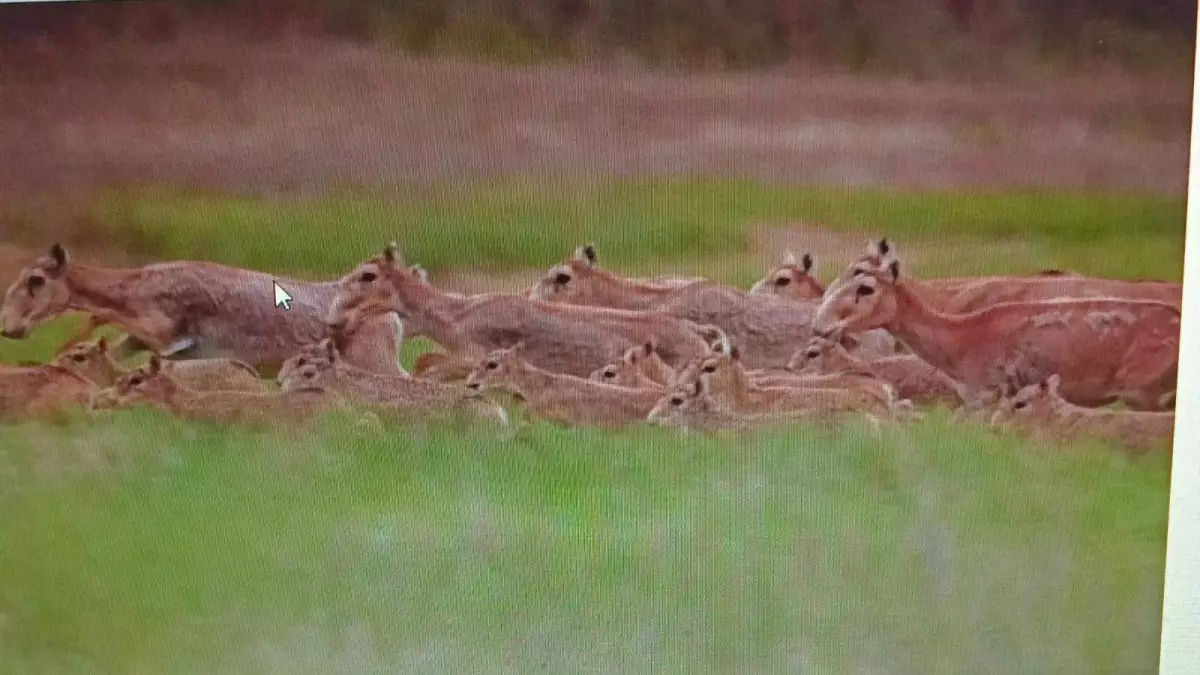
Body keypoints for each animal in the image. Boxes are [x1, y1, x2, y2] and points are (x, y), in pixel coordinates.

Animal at [0, 242, 408, 379]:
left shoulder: (171, 337)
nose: (8, 327)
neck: (137, 289)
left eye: (36, 280)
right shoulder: (140, 340)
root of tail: (393, 316)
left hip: (375, 360)